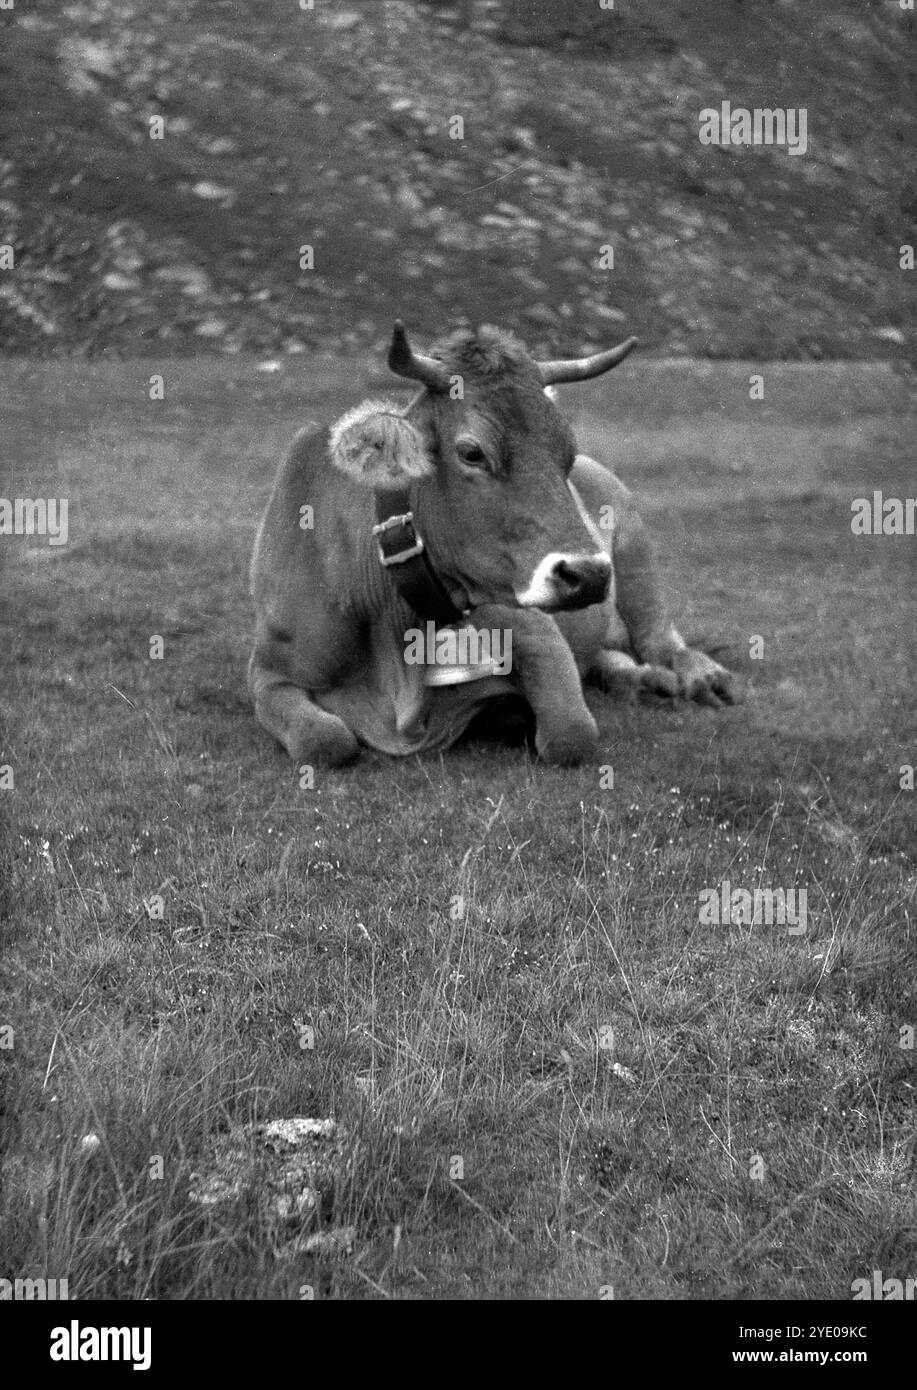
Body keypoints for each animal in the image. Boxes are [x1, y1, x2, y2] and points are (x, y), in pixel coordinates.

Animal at [247, 319, 733, 767]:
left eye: (567, 451)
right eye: (472, 452)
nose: (589, 575)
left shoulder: (530, 624)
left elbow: (570, 734)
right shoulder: (267, 670)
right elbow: (325, 741)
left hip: (635, 546)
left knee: (660, 640)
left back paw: (695, 676)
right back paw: (638, 680)